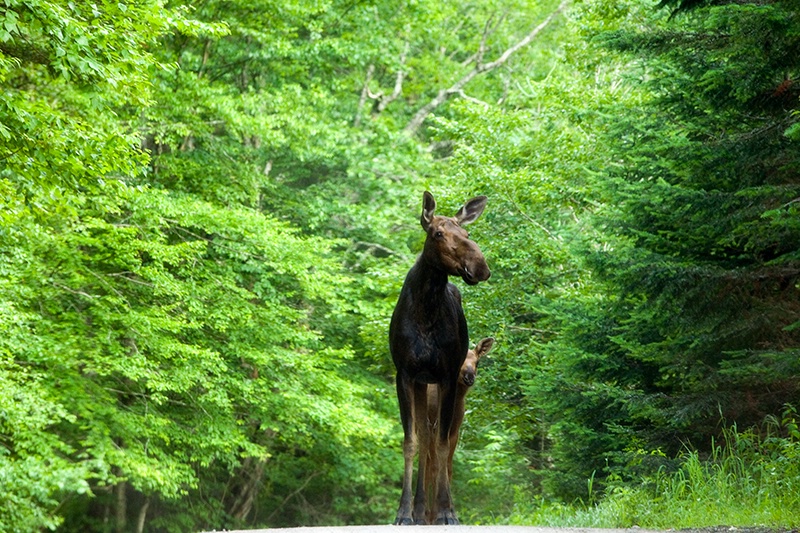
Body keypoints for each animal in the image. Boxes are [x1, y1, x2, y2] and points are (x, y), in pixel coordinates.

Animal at [424, 334, 494, 516]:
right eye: (460, 359)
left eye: (477, 362)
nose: (470, 376)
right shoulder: (433, 428)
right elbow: (435, 467)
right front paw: (434, 513)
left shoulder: (454, 432)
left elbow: (448, 468)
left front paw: (449, 509)